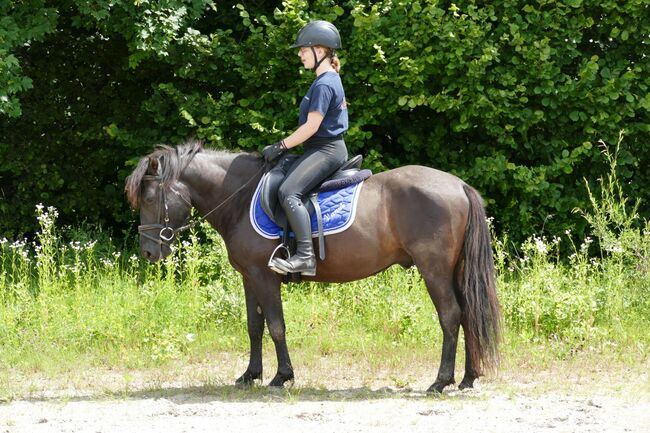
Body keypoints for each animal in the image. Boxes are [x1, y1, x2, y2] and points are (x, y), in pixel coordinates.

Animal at [126, 138, 502, 392]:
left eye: (149, 197)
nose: (148, 253)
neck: (240, 198)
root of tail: (459, 184)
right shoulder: (249, 277)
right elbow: (254, 327)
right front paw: (250, 375)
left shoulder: (264, 276)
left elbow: (276, 326)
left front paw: (281, 376)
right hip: (454, 270)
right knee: (468, 314)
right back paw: (468, 378)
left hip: (433, 269)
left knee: (451, 315)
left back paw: (440, 381)